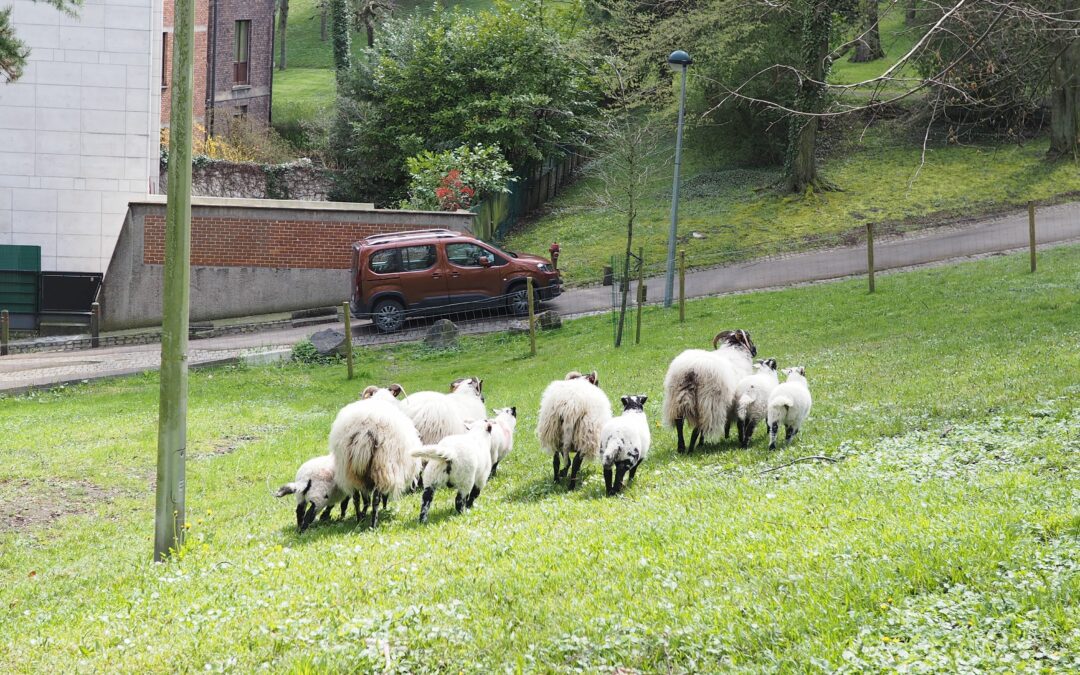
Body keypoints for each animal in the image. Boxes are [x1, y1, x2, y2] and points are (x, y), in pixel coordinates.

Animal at [330, 384, 423, 527]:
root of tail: (365, 430)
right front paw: (384, 507)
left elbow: (364, 498)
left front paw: (363, 514)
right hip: (381, 465)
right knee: (376, 498)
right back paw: (373, 523)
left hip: (349, 468)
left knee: (356, 497)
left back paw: (359, 519)